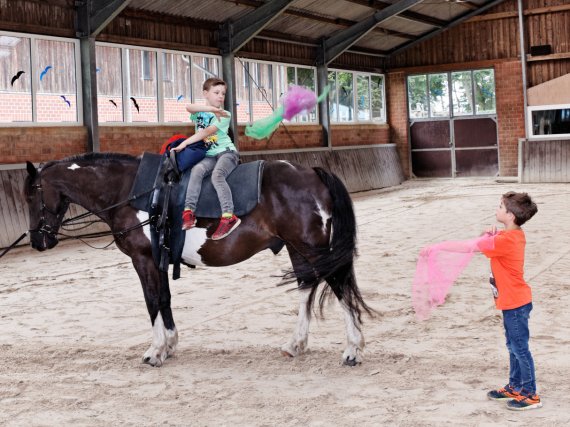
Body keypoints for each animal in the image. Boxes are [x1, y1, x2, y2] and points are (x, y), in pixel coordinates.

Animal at [23, 154, 372, 368]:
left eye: (31, 195)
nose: (38, 241)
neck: (132, 193)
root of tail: (311, 172)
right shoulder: (159, 260)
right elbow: (164, 299)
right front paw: (170, 345)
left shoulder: (143, 260)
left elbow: (152, 301)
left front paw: (155, 351)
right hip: (297, 247)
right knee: (306, 286)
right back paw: (295, 344)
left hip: (311, 248)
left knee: (339, 287)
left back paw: (352, 350)